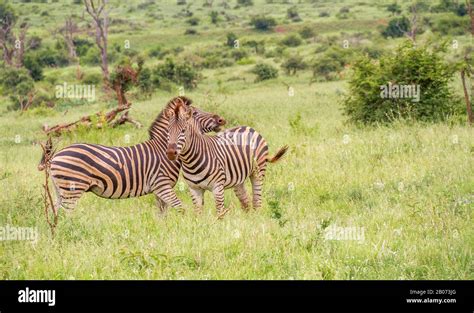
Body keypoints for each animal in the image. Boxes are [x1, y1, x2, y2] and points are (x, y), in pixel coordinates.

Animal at [38, 96, 227, 213]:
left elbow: (162, 214)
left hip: (60, 190)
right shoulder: (162, 185)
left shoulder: (159, 189)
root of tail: (55, 156)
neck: (163, 149)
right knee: (66, 215)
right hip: (73, 188)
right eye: (195, 113)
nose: (221, 120)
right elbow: (180, 208)